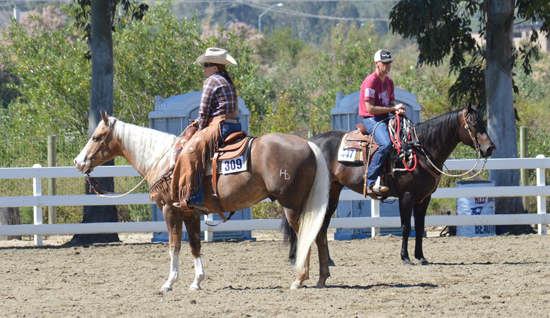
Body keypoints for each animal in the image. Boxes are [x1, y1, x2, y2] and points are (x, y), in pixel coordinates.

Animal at [74, 113, 332, 292]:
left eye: (96, 137)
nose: (78, 162)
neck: (165, 161)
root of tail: (308, 144)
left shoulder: (170, 211)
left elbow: (174, 246)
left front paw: (169, 283)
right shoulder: (191, 214)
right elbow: (195, 245)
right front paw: (197, 281)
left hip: (293, 207)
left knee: (307, 236)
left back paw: (299, 279)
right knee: (319, 235)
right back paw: (322, 278)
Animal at [284, 103, 496, 280]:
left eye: (483, 122)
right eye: (472, 124)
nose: (490, 148)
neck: (417, 150)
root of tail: (309, 142)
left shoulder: (424, 198)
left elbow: (420, 227)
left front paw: (421, 257)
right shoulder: (407, 196)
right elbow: (406, 227)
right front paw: (405, 257)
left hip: (332, 191)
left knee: (321, 224)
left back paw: (326, 260)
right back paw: (296, 258)